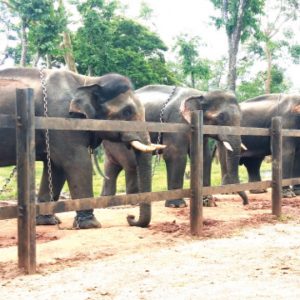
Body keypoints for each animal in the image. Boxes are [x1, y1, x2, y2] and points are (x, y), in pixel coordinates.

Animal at [0, 67, 164, 229]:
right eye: (127, 111)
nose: (130, 217)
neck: (89, 81)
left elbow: (56, 167)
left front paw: (48, 221)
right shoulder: (63, 120)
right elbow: (76, 162)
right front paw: (91, 224)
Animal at [101, 84, 248, 206]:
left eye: (241, 117)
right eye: (221, 117)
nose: (245, 203)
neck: (201, 94)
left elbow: (204, 157)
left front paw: (208, 203)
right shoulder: (176, 121)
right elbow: (175, 155)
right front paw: (177, 205)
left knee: (111, 166)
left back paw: (107, 201)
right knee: (131, 163)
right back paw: (135, 202)